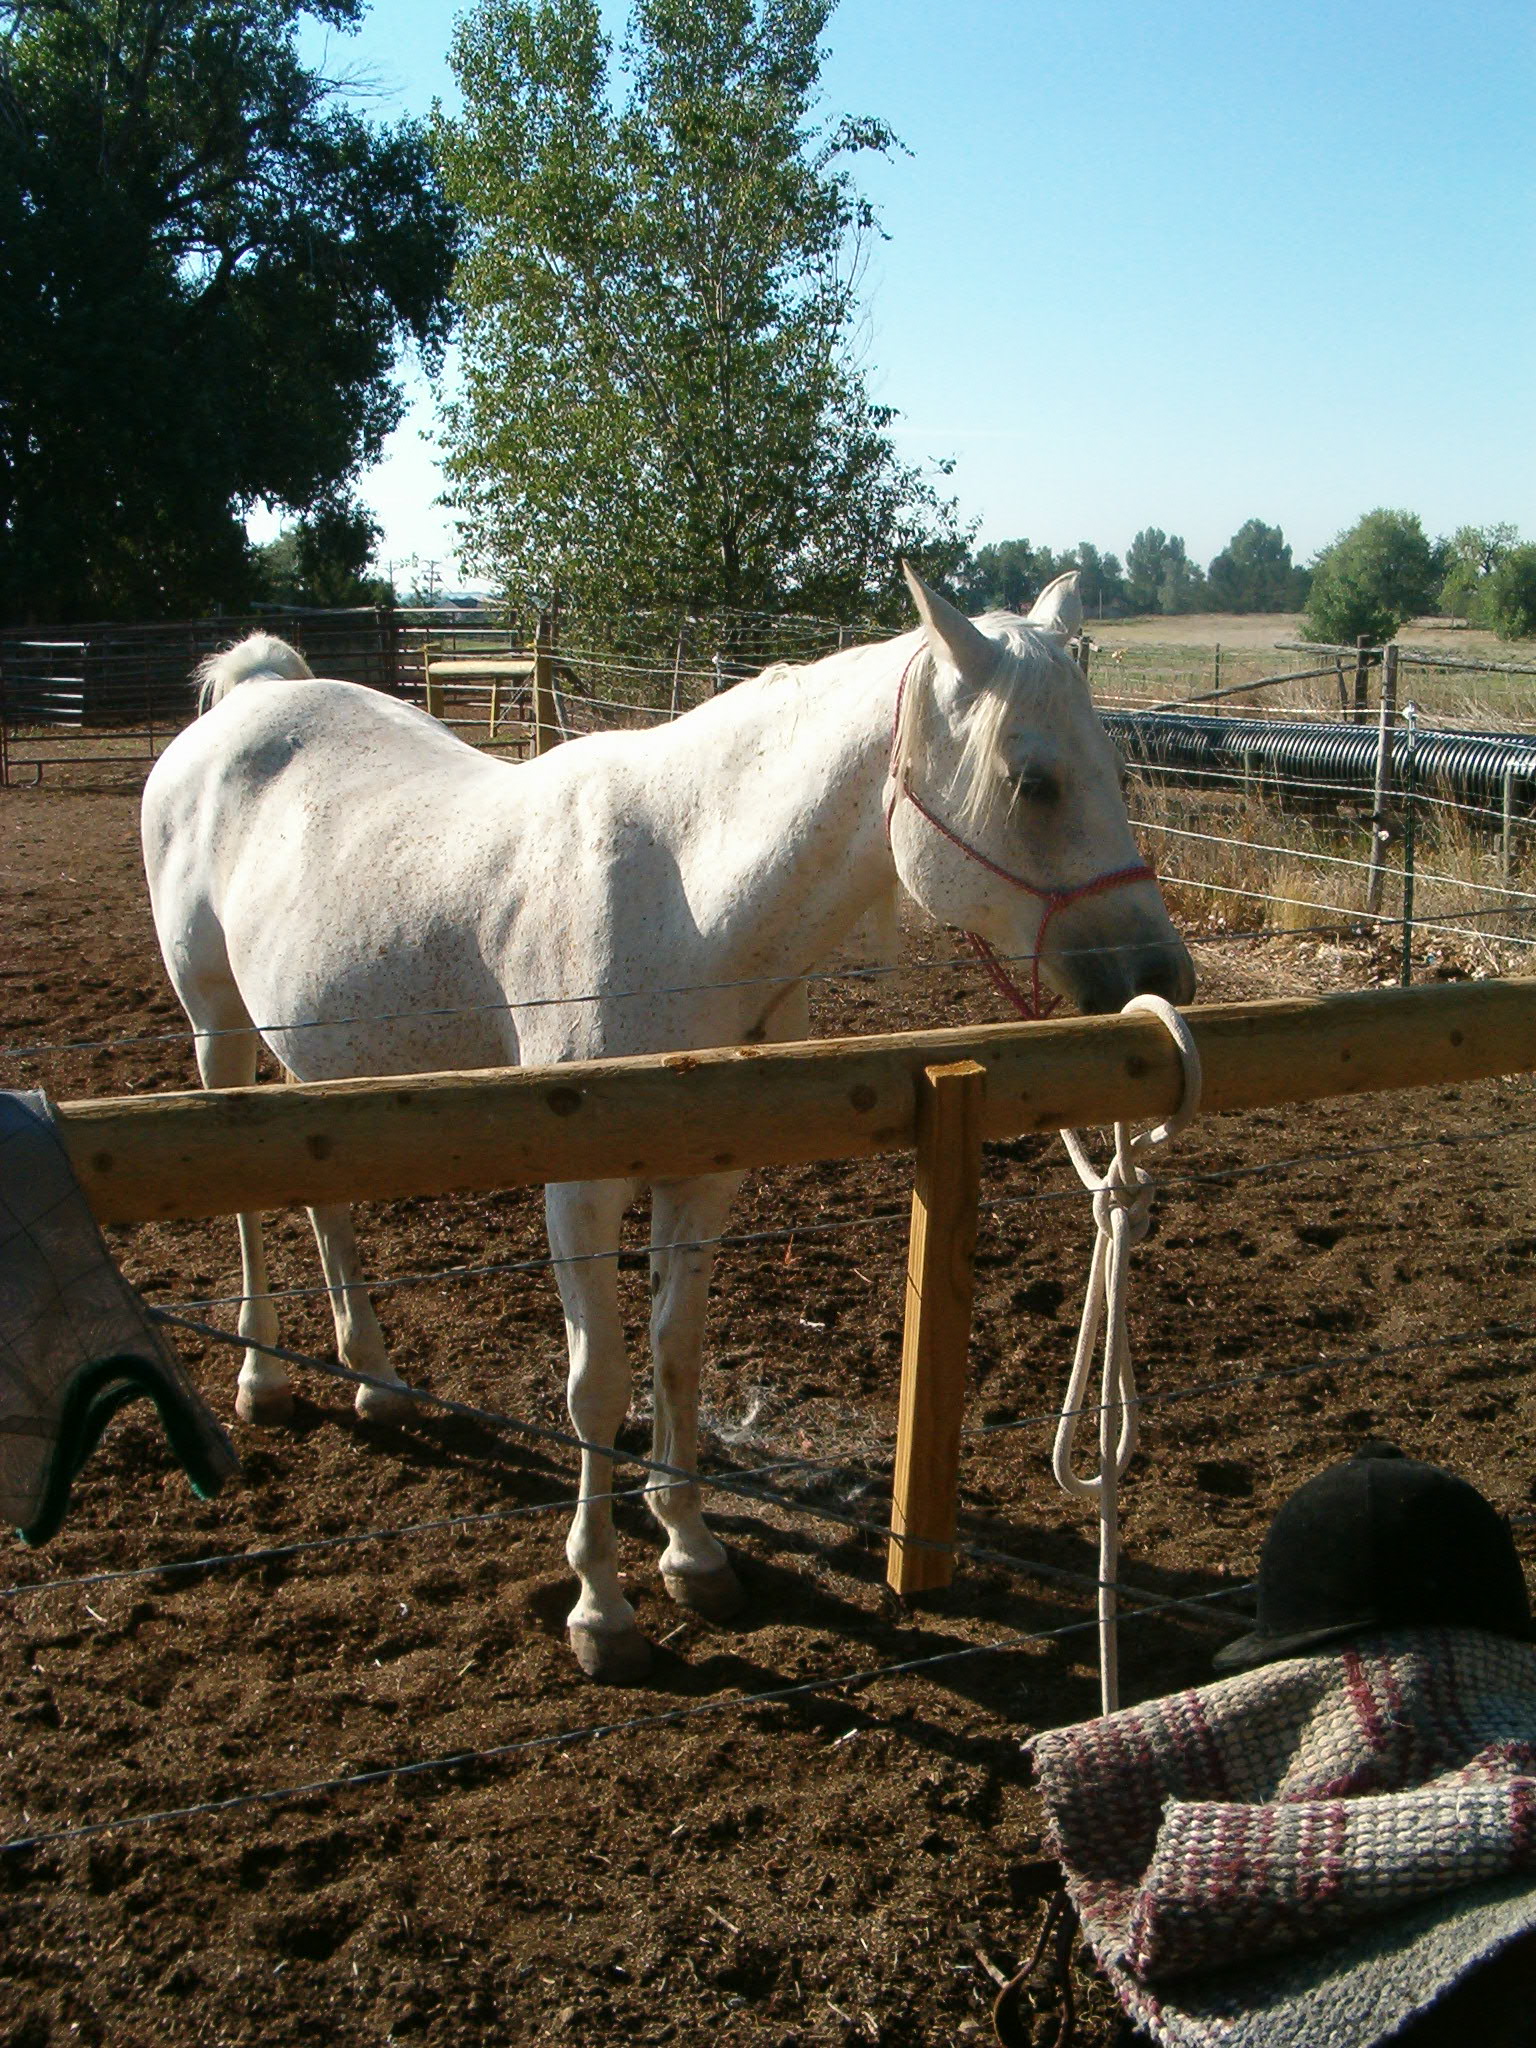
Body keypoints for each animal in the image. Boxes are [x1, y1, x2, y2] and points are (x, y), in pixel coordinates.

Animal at [141, 567, 1194, 1681]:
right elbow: (597, 1387)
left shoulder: (703, 1174)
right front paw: (601, 1608)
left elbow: (677, 1356)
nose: (1162, 975)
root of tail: (255, 698)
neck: (688, 906)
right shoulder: (581, 1186)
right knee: (252, 1205)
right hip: (218, 1029)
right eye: (1033, 782)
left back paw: (376, 1381)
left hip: (321, 1064)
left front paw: (691, 1550)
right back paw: (263, 1376)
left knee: (326, 1202)